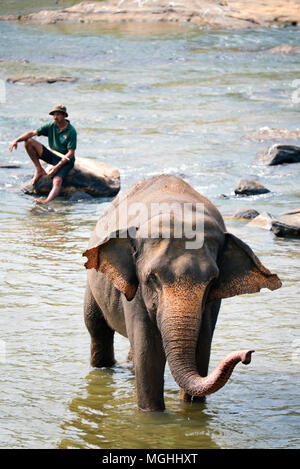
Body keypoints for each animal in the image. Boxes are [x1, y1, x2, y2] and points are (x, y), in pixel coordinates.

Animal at [82, 175, 282, 410]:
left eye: (212, 281)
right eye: (152, 278)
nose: (248, 354)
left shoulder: (212, 302)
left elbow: (202, 346)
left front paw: (191, 408)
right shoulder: (135, 291)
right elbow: (148, 351)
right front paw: (152, 414)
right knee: (97, 328)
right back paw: (103, 368)